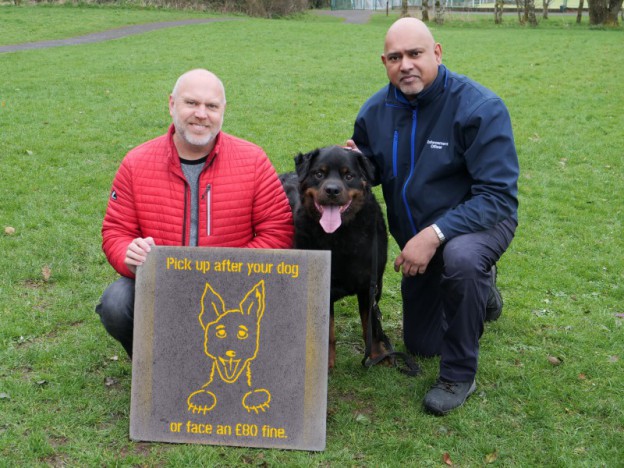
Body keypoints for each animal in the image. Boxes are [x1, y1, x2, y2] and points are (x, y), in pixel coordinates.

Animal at [280, 146, 388, 370]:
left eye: (349, 176)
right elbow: (327, 331)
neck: (340, 235)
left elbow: (371, 323)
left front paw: (377, 356)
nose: (332, 190)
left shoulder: (371, 284)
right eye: (319, 174)